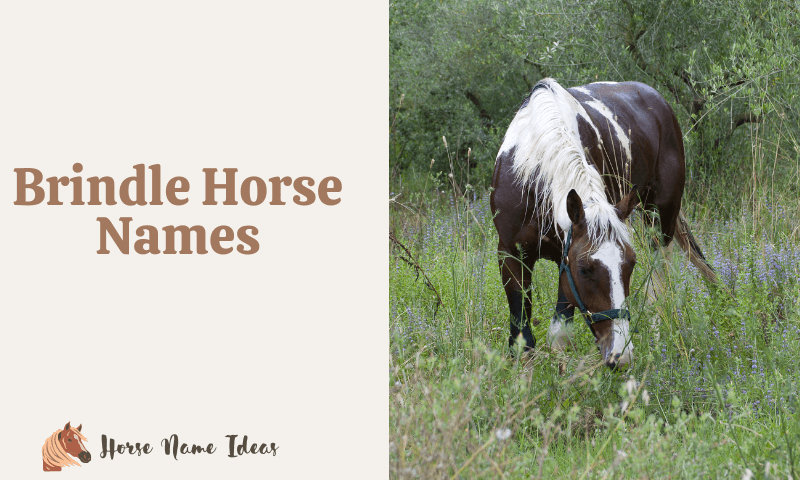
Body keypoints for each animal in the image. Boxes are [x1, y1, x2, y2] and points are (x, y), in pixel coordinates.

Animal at [490, 78, 716, 369]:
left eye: (631, 264)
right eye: (585, 269)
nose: (620, 356)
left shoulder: (565, 258)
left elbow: (559, 337)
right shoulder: (511, 254)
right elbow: (523, 340)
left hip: (660, 222)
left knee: (659, 286)